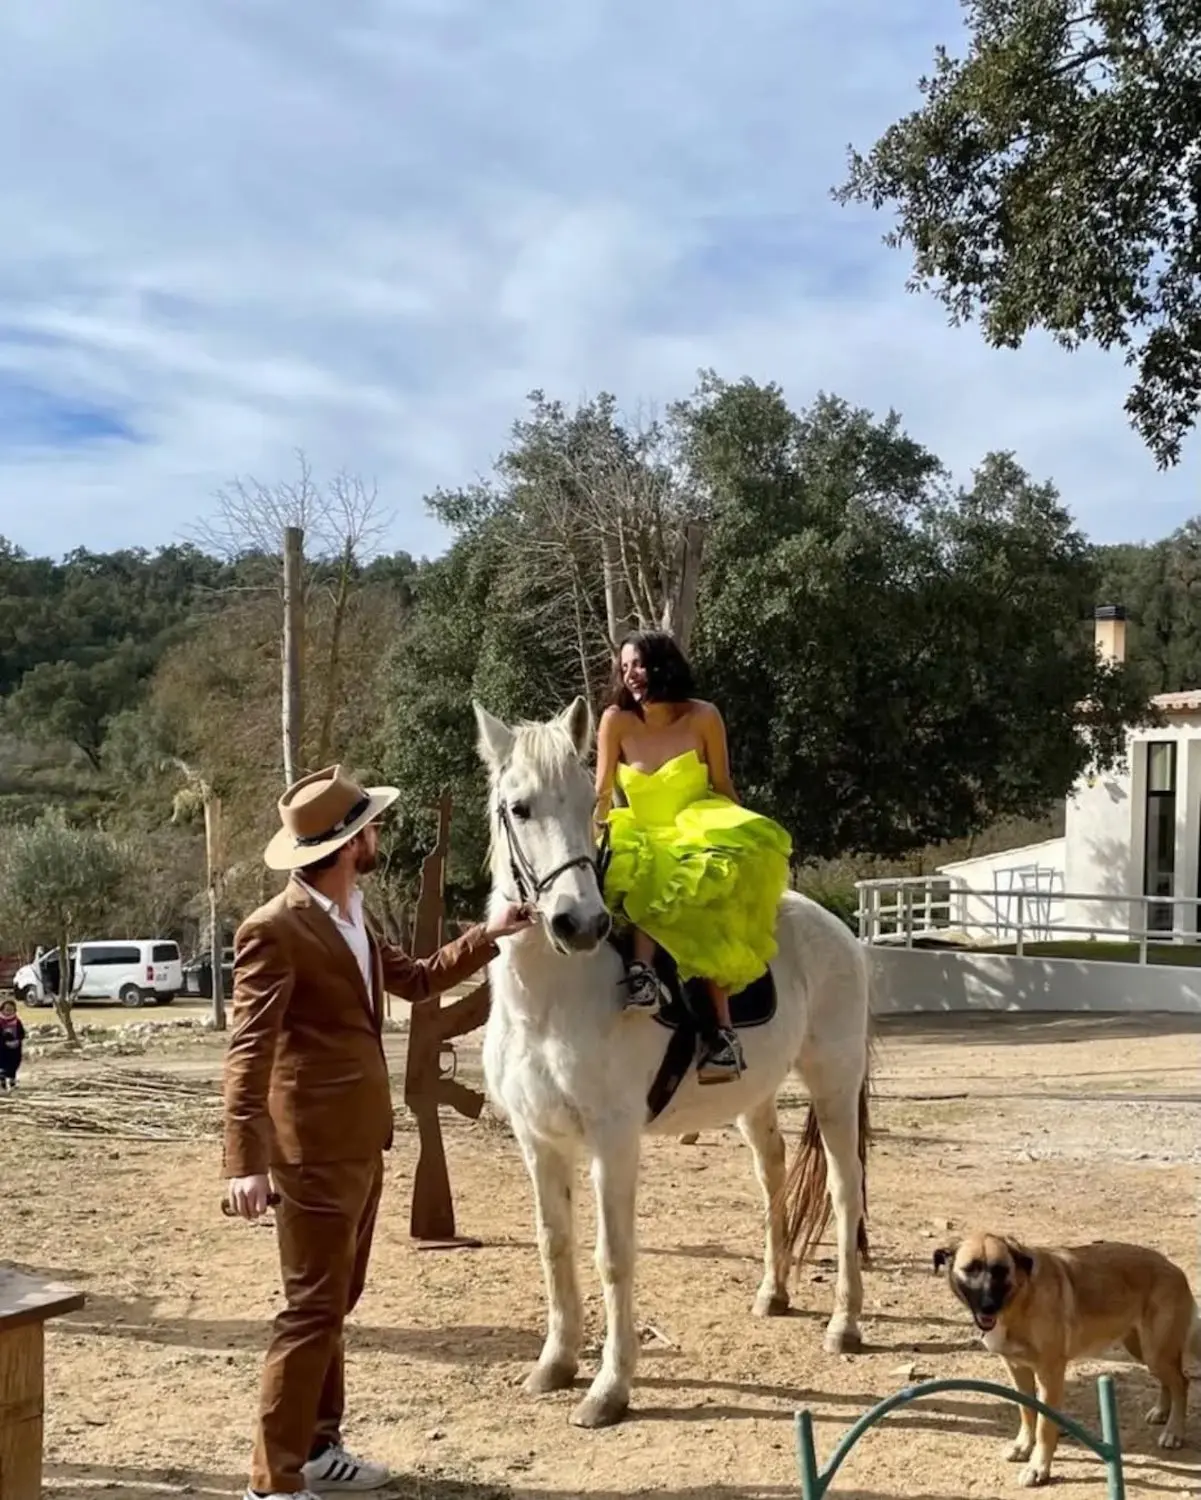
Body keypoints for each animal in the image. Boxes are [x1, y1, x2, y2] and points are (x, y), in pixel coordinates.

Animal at [470, 696, 869, 1422]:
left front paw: (609, 1388)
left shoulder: (612, 1139)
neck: (553, 998)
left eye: (587, 805)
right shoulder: (536, 1139)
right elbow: (554, 1245)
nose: (580, 924)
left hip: (833, 1086)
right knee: (771, 1173)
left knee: (843, 1190)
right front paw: (555, 1363)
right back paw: (774, 1292)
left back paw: (844, 1325)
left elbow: (613, 1257)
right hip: (755, 1098)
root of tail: (835, 928)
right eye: (519, 808)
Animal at [935, 1230, 1199, 1488]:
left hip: (1156, 1351)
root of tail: (1173, 1267)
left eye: (1001, 1270)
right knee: (1168, 1381)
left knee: (1182, 1382)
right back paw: (1162, 1411)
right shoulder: (1017, 1368)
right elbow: (1027, 1411)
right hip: (1143, 1350)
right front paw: (1023, 1447)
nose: (988, 1307)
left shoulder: (1050, 1373)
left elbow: (1044, 1426)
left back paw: (1174, 1431)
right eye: (971, 1269)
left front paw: (1038, 1469)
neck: (1021, 1297)